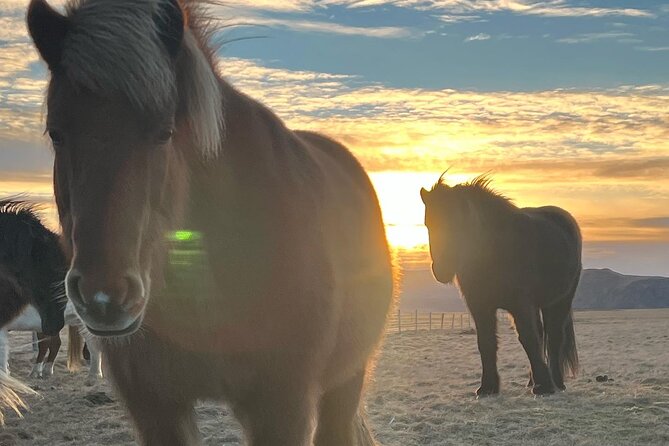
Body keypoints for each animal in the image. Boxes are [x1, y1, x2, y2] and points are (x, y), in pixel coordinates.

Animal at [27, 1, 392, 444]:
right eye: (56, 133)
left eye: (165, 132)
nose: (104, 297)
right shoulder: (155, 406)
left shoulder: (282, 405)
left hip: (345, 379)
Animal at [420, 176, 576, 396]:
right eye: (428, 224)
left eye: (459, 224)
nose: (442, 269)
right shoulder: (480, 306)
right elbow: (486, 342)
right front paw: (487, 387)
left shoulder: (520, 304)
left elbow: (528, 338)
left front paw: (545, 385)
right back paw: (532, 381)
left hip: (559, 301)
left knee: (554, 338)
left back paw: (556, 382)